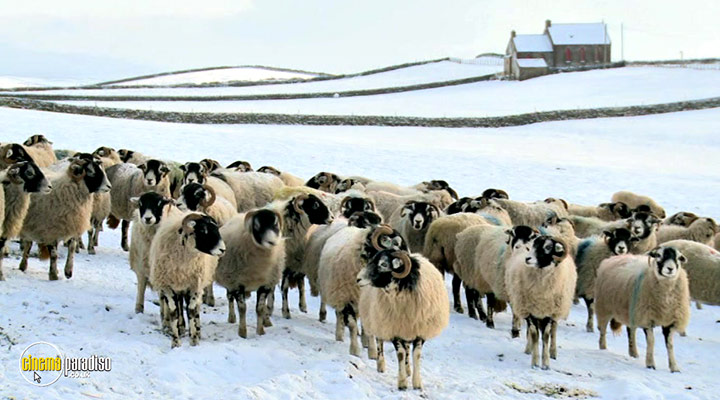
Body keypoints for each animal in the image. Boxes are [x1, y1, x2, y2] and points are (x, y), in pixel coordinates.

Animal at [149, 213, 225, 348]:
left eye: (216, 228)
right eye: (203, 230)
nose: (223, 249)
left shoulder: (194, 286)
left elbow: (191, 310)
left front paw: (194, 340)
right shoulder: (167, 287)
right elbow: (174, 312)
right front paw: (175, 342)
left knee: (195, 308)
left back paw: (197, 331)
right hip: (178, 288)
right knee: (179, 306)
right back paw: (181, 327)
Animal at [215, 208, 285, 338]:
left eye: (275, 224)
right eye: (257, 226)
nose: (271, 242)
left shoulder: (265, 284)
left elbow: (260, 308)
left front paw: (260, 330)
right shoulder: (237, 283)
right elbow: (242, 308)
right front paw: (242, 332)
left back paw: (267, 321)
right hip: (229, 278)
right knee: (229, 297)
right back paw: (231, 318)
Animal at [318, 224, 407, 357]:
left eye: (399, 244)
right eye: (386, 240)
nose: (400, 261)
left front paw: (372, 352)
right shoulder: (346, 299)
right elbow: (352, 326)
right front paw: (355, 350)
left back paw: (364, 342)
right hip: (336, 294)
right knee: (339, 315)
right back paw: (339, 336)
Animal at [357, 250, 449, 390]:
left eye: (383, 264)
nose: (358, 279)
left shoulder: (419, 330)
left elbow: (416, 355)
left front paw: (417, 383)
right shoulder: (394, 329)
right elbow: (400, 354)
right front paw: (402, 383)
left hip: (405, 328)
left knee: (406, 349)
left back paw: (408, 370)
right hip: (378, 320)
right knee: (380, 342)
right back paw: (381, 365)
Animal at [505, 235, 577, 369]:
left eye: (548, 247)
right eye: (533, 245)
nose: (527, 259)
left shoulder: (549, 313)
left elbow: (546, 336)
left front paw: (546, 364)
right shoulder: (530, 311)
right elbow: (534, 335)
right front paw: (535, 362)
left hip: (557, 310)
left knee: (554, 331)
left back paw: (553, 352)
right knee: (530, 331)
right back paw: (528, 349)